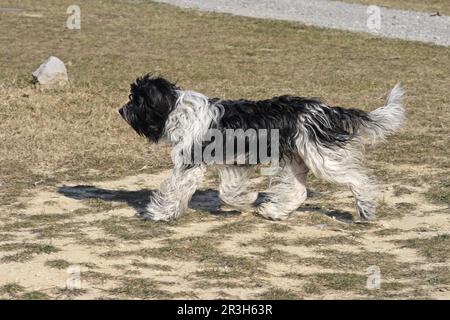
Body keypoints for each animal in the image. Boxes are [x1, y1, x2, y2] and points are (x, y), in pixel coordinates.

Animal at [118, 74, 404, 221]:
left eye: (136, 99)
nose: (121, 110)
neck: (178, 110)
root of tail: (324, 109)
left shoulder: (192, 161)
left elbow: (177, 188)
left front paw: (159, 212)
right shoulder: (233, 163)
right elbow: (227, 192)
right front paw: (247, 200)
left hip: (321, 157)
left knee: (358, 179)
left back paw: (366, 208)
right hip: (295, 159)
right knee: (298, 191)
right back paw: (274, 211)